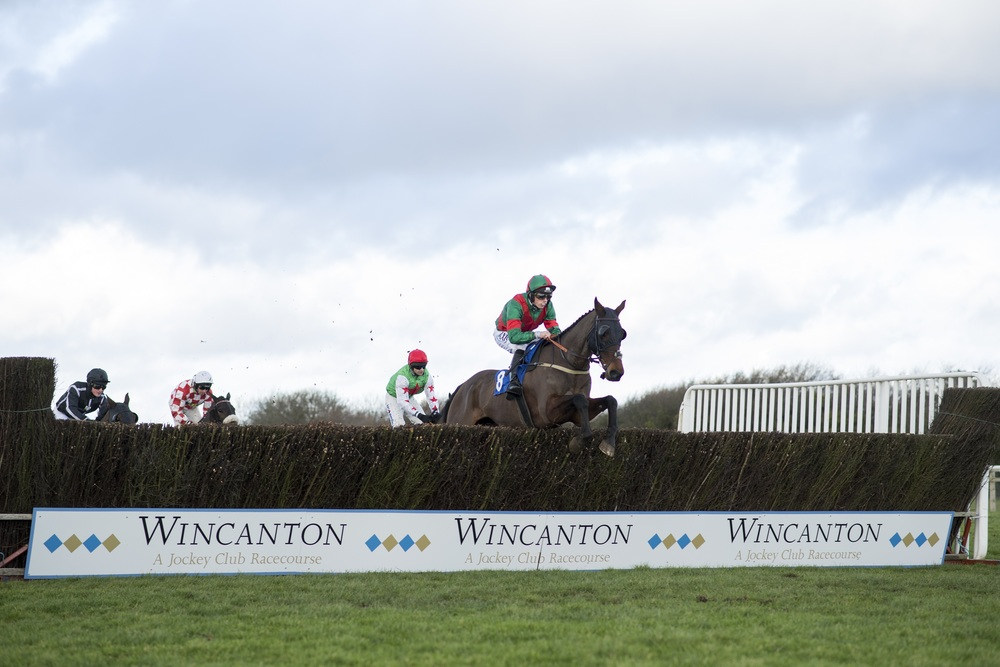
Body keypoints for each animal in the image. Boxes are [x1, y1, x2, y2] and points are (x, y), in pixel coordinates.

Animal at [441, 297, 626, 456]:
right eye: (604, 332)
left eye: (622, 334)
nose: (616, 372)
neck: (569, 363)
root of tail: (463, 386)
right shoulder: (546, 413)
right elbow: (579, 399)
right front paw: (578, 442)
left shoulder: (578, 415)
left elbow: (610, 400)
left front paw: (608, 443)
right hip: (461, 421)